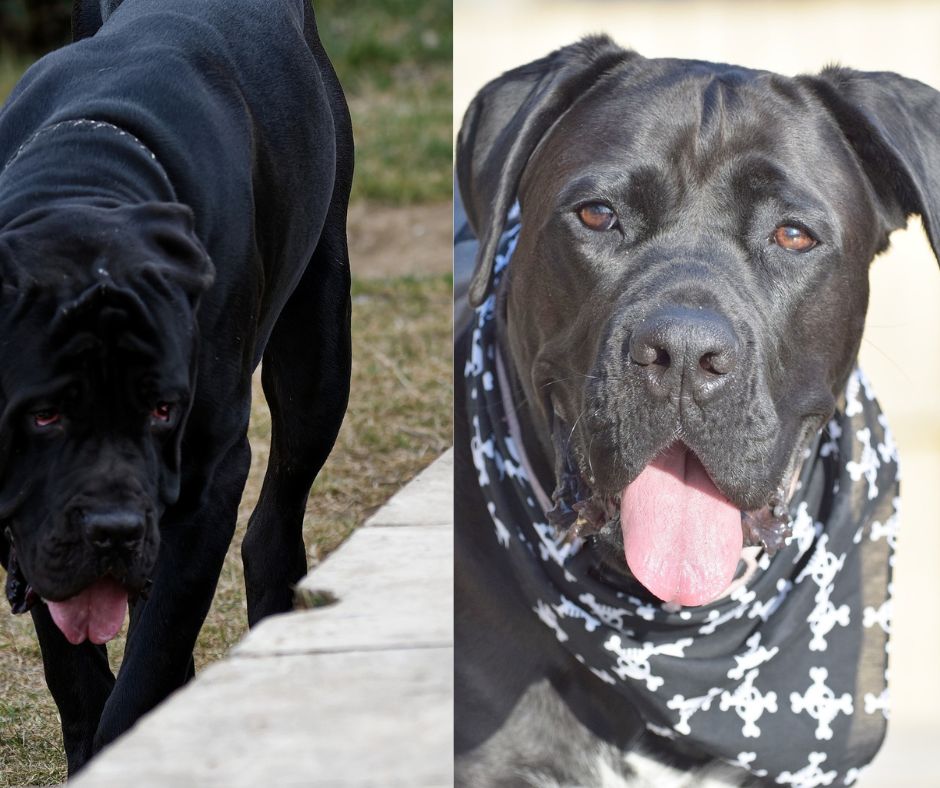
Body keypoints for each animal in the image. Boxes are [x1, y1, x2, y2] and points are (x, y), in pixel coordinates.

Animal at [0, 0, 350, 776]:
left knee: (274, 525)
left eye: (162, 410)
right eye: (42, 416)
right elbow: (76, 672)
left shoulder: (207, 478)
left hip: (318, 352)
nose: (112, 528)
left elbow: (148, 663)